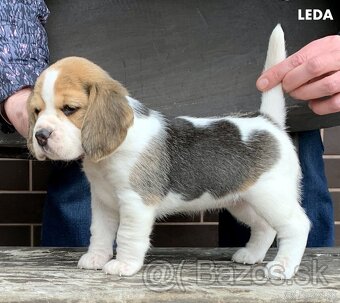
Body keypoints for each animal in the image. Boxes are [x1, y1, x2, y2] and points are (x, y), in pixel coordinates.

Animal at [28, 26, 310, 280]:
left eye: (70, 109)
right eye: (37, 111)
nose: (40, 135)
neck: (111, 153)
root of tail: (268, 121)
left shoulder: (135, 202)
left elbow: (127, 235)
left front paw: (123, 265)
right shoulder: (103, 201)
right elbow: (100, 233)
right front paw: (96, 258)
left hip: (271, 196)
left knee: (297, 225)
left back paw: (283, 267)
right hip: (242, 201)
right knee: (265, 228)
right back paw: (251, 255)